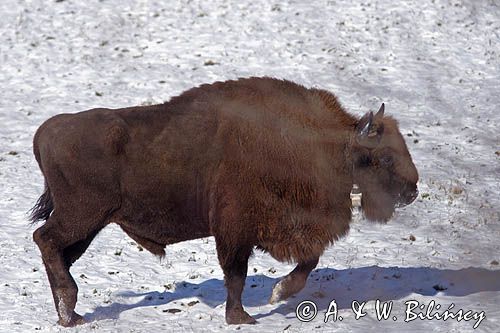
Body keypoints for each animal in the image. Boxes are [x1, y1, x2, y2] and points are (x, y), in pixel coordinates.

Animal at [30, 77, 418, 324]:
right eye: (385, 157)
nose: (412, 190)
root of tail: (45, 132)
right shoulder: (235, 230)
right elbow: (237, 274)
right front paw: (242, 316)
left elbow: (308, 263)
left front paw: (278, 293)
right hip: (82, 215)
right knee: (45, 240)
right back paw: (70, 309)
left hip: (89, 224)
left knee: (56, 251)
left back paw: (70, 314)